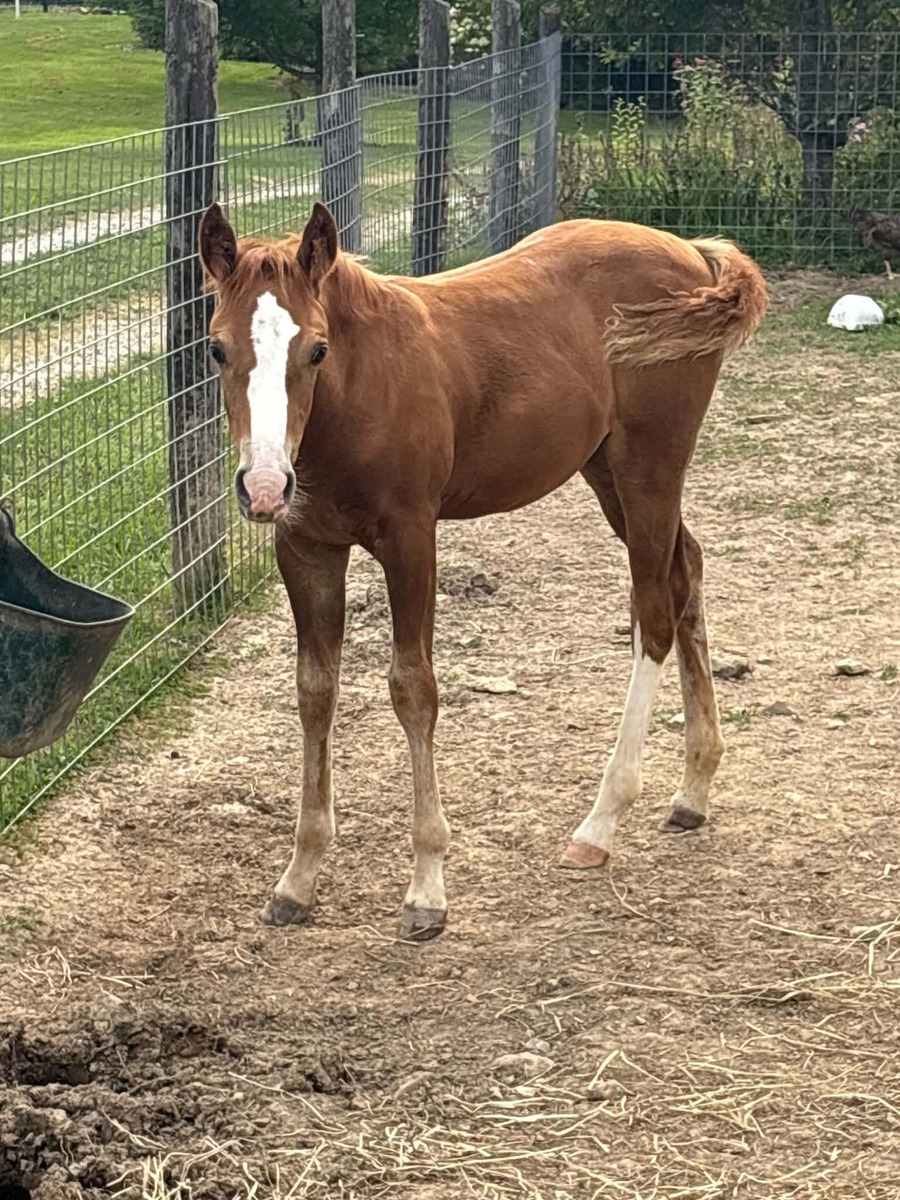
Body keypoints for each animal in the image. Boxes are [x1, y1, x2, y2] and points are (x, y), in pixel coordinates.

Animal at [198, 201, 767, 939]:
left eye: (317, 349)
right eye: (217, 349)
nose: (264, 487)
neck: (358, 395)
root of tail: (694, 253)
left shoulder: (412, 540)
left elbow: (413, 690)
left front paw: (427, 889)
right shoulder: (306, 549)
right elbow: (315, 692)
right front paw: (298, 880)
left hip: (651, 468)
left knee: (653, 615)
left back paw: (600, 823)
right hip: (605, 471)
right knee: (686, 571)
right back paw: (693, 791)